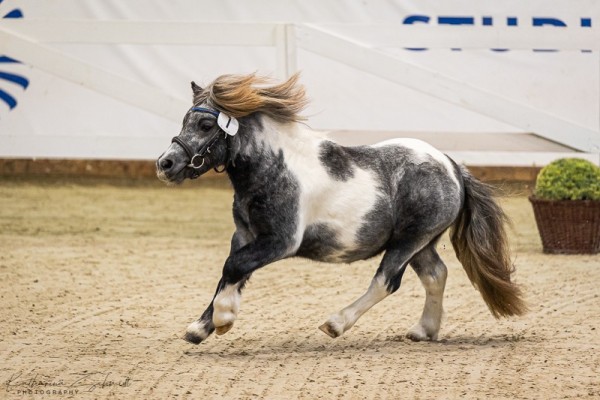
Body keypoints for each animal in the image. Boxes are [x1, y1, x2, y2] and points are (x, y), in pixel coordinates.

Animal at [157, 73, 528, 346]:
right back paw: (424, 331)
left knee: (386, 281)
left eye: (206, 126)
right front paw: (201, 327)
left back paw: (336, 324)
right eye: (185, 120)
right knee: (435, 274)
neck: (274, 167)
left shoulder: (280, 241)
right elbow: (232, 271)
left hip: (410, 240)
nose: (165, 163)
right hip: (422, 242)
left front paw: (223, 319)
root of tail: (452, 166)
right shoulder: (246, 235)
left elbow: (234, 266)